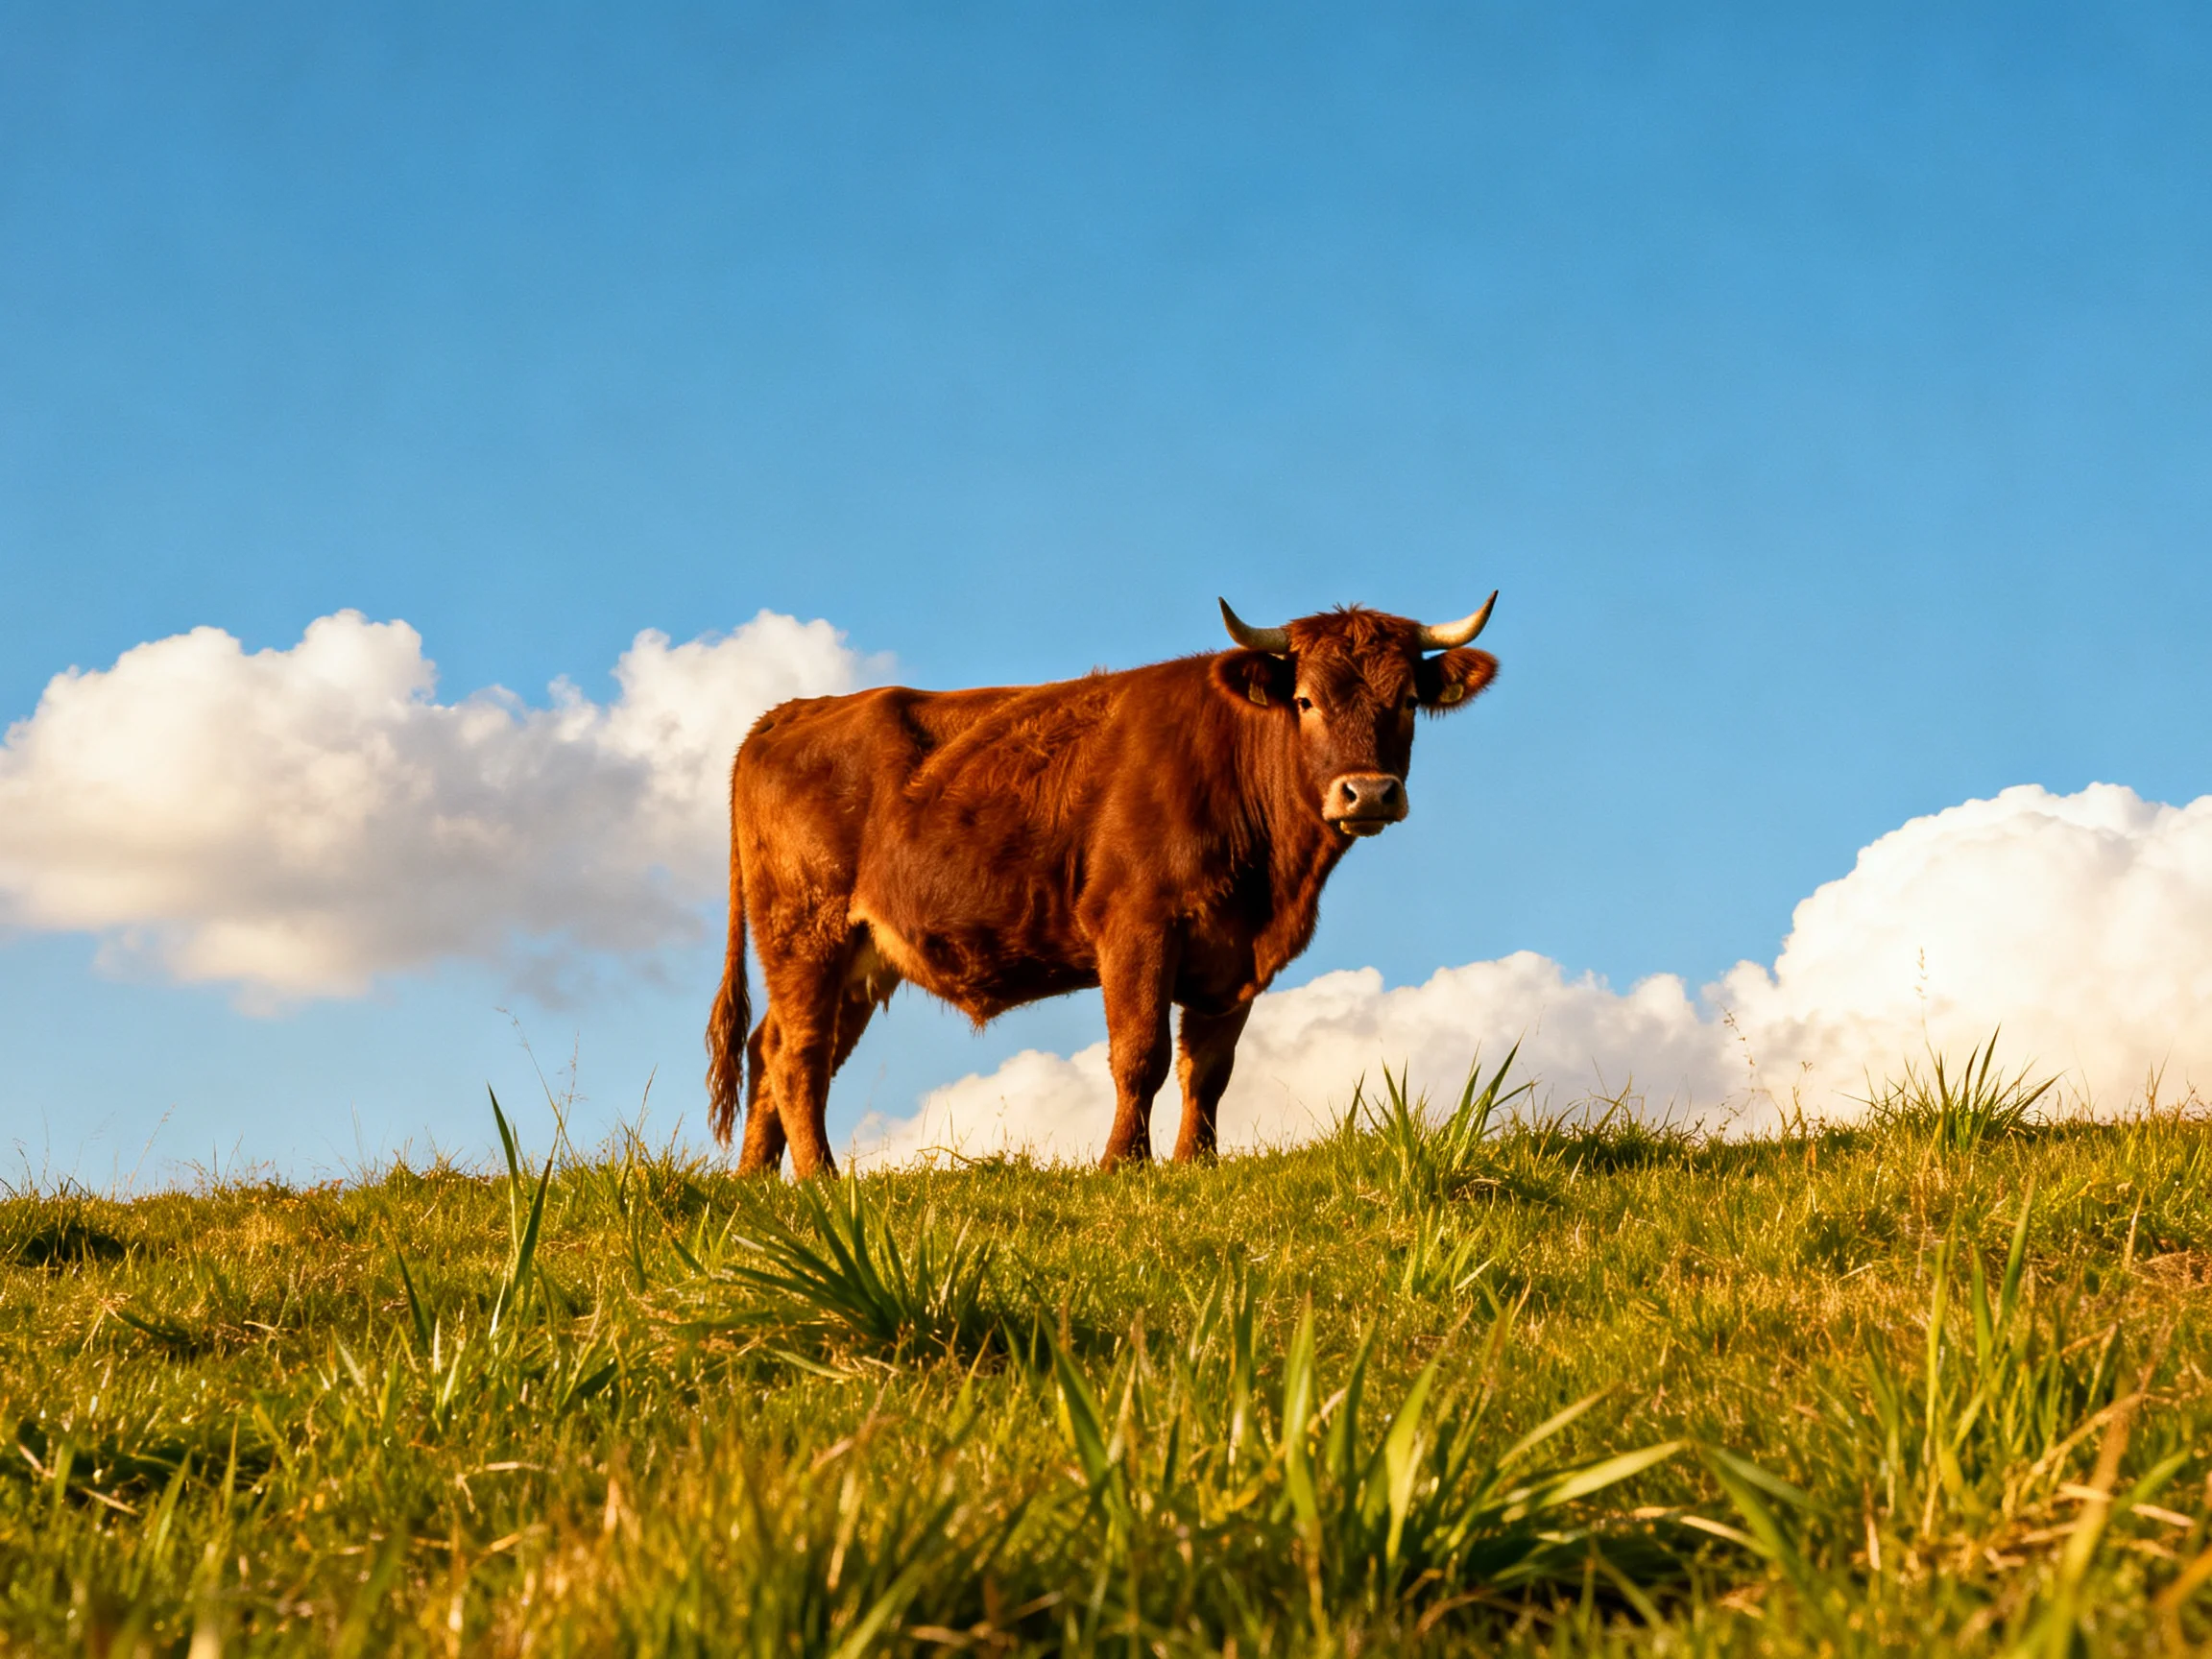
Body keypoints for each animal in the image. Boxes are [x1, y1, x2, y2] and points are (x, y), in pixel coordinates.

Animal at [705, 597, 1500, 1176]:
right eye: (1304, 700)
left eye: (1407, 700)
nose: (1368, 792)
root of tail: (791, 711)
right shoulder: (1136, 925)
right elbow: (1140, 1055)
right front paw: (1123, 1165)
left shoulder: (1235, 956)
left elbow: (1209, 1069)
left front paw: (1195, 1166)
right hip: (806, 929)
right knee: (797, 1055)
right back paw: (821, 1180)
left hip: (859, 959)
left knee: (770, 1048)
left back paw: (756, 1184)